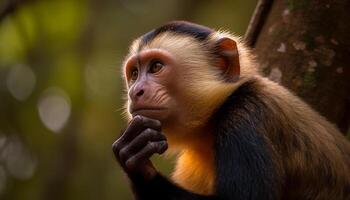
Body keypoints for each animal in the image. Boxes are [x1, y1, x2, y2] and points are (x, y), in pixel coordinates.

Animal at [111, 21, 350, 199]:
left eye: (156, 67)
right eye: (134, 74)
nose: (135, 92)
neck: (215, 116)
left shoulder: (244, 116)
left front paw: (137, 165)